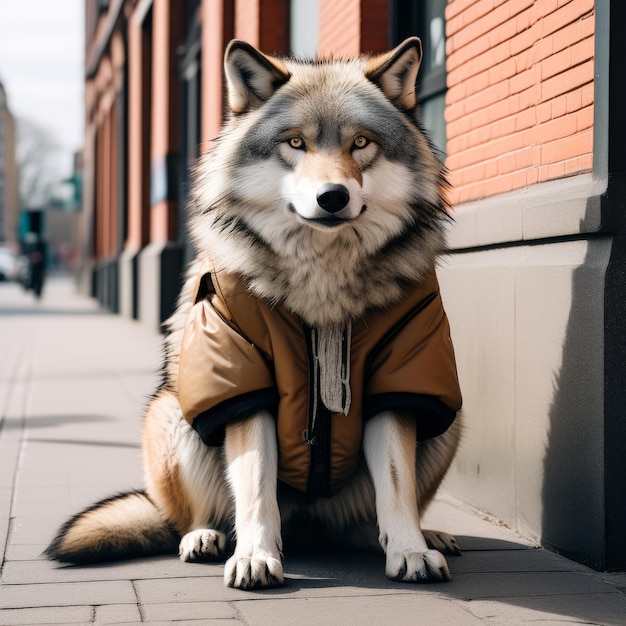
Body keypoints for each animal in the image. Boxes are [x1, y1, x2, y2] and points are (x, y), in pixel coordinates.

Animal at [45, 37, 464, 584]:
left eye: (360, 143)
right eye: (295, 143)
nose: (333, 197)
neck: (322, 282)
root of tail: (310, 527)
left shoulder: (400, 380)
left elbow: (397, 484)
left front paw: (412, 550)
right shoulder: (243, 384)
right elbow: (256, 481)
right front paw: (255, 556)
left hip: (450, 422)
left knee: (363, 524)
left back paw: (419, 537)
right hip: (176, 410)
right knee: (198, 514)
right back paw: (205, 538)